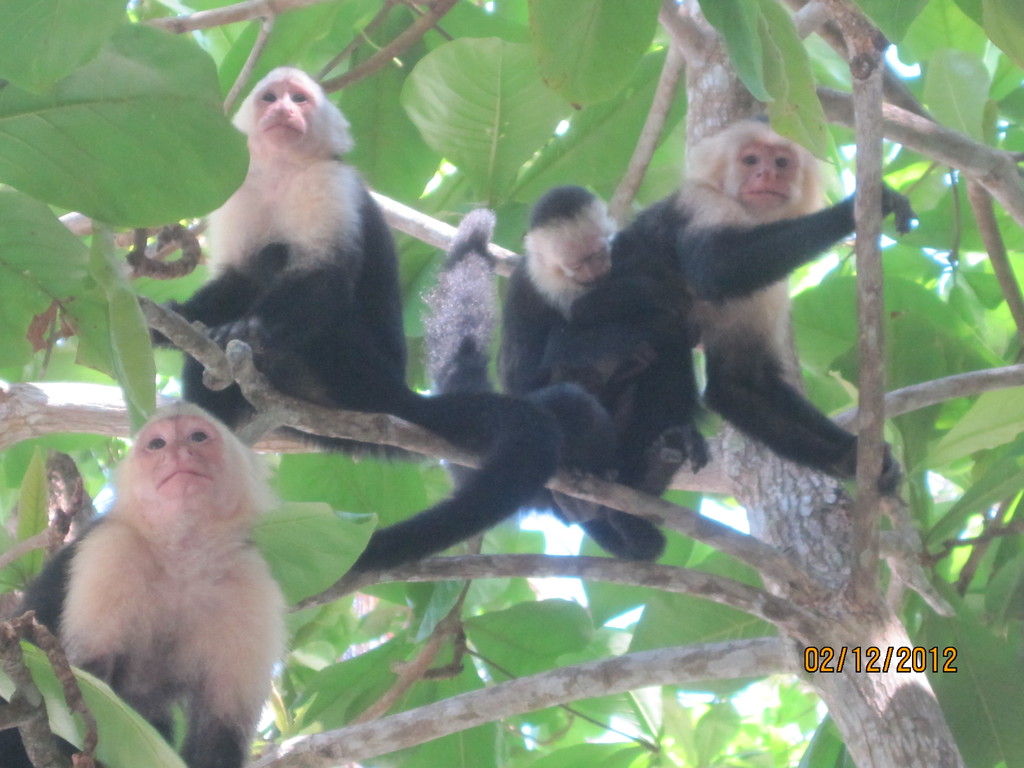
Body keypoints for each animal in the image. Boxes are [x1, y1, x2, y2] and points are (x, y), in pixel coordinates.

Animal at [0, 404, 285, 768]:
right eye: (158, 444)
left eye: (198, 437)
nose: (178, 453)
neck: (182, 560)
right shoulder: (111, 550)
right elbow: (87, 683)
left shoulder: (252, 587)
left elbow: (220, 731)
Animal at [163, 67, 560, 571]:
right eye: (270, 98)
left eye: (299, 99)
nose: (284, 110)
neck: (283, 173)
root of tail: (395, 392)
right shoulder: (242, 193)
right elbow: (236, 279)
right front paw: (175, 319)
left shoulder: (332, 184)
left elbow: (324, 277)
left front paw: (248, 331)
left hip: (355, 373)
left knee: (292, 275)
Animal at [497, 186, 709, 560]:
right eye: (577, 265)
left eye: (600, 254)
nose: (597, 274)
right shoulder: (525, 289)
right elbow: (523, 381)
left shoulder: (628, 253)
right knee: (564, 398)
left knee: (668, 352)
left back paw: (656, 464)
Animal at [608, 119, 915, 491]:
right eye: (751, 160)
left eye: (781, 162)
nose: (767, 174)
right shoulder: (703, 202)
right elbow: (717, 266)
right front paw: (851, 211)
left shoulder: (770, 294)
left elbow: (739, 382)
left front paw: (851, 455)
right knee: (660, 327)